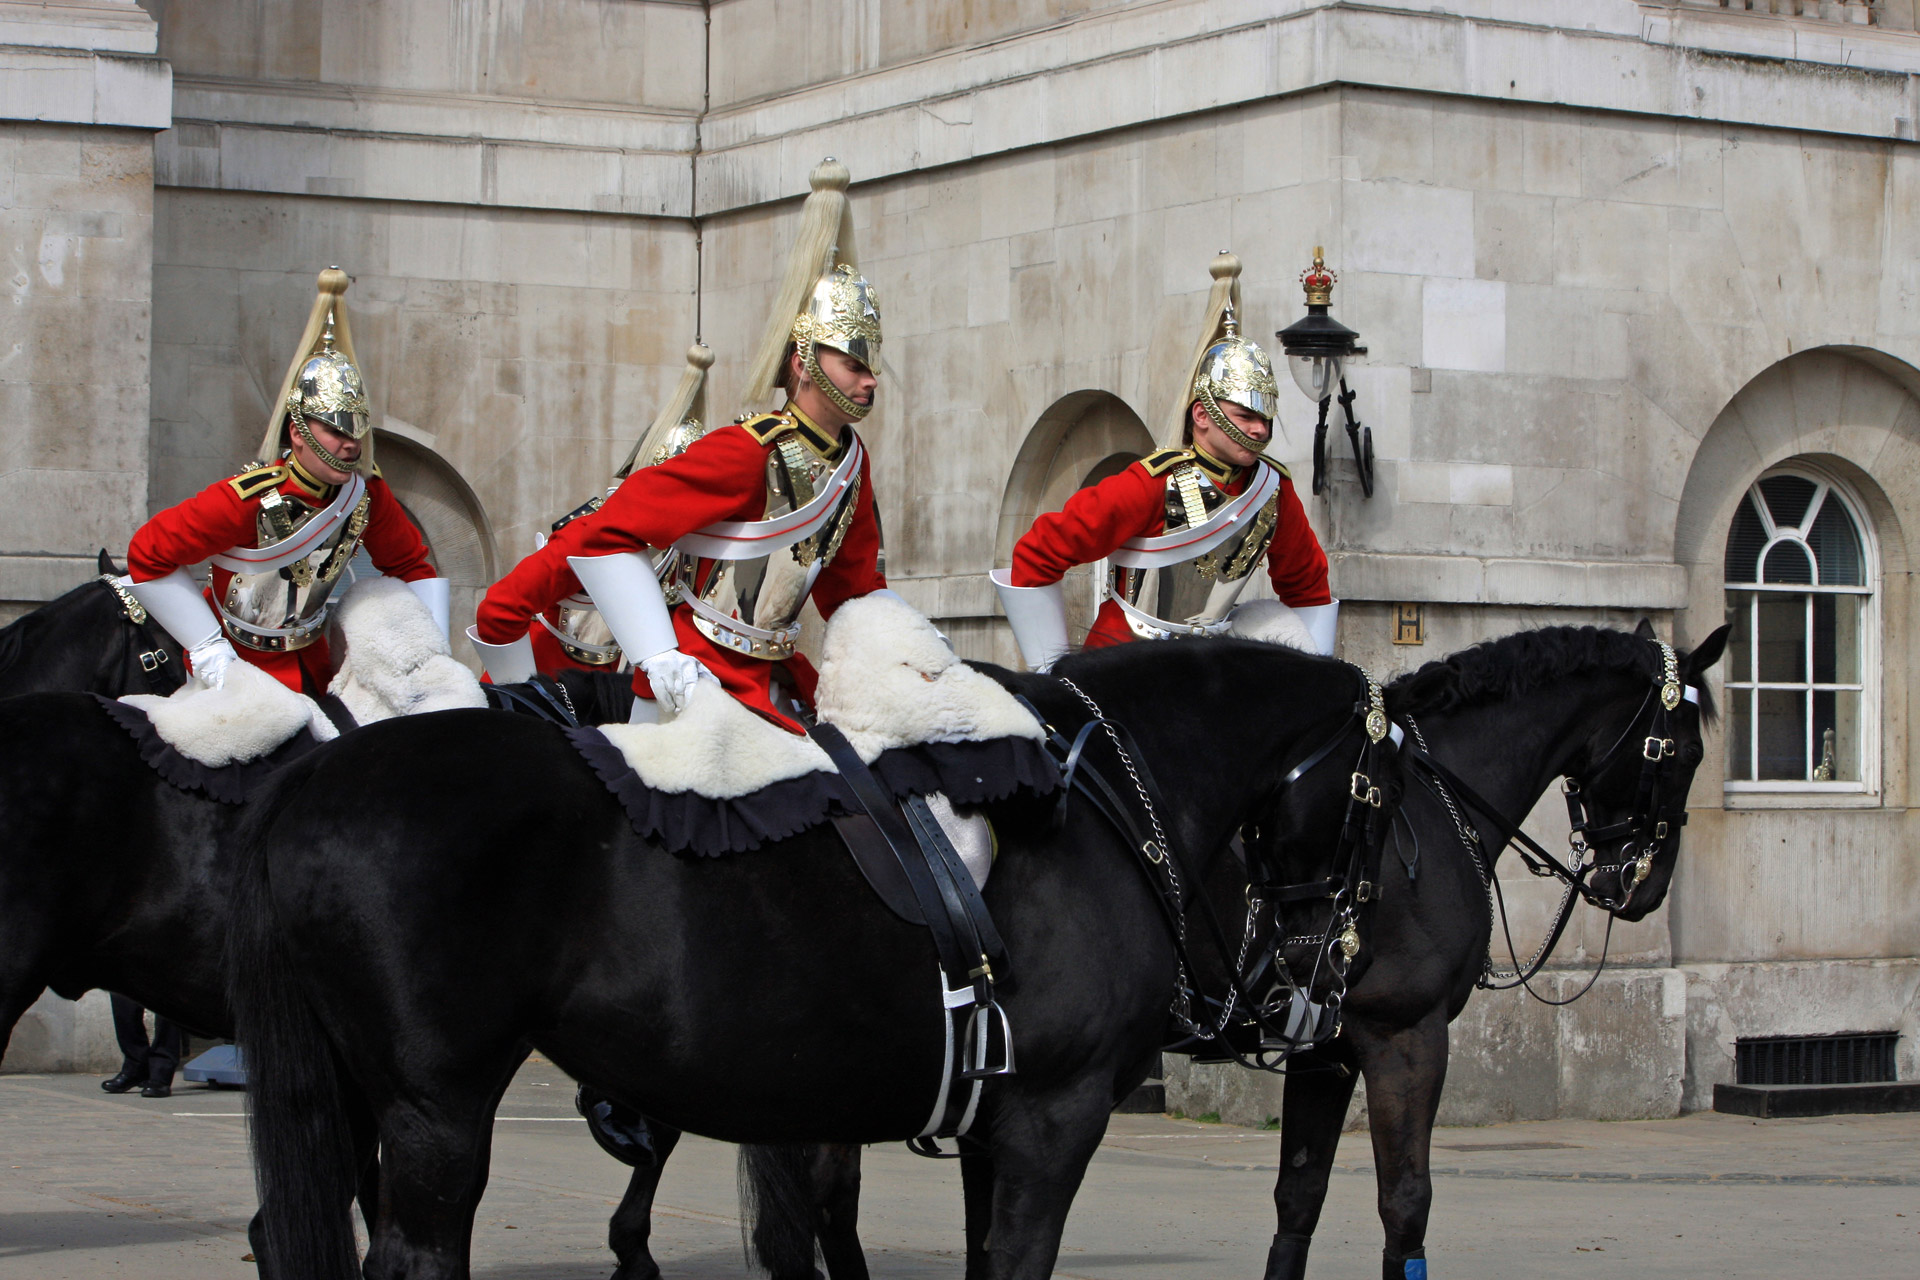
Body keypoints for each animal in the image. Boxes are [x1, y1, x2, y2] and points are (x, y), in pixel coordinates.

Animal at [224, 640, 1405, 1280]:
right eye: (1379, 805)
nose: (1312, 990)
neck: (1100, 807)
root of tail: (316, 773)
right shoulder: (1053, 1119)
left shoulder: (994, 1128)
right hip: (436, 1106)